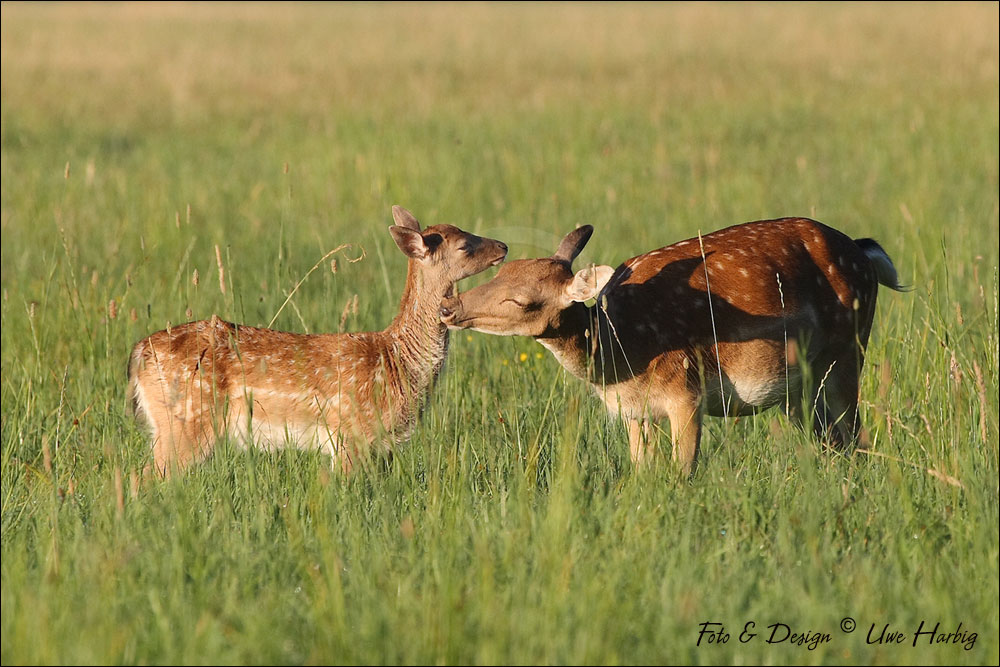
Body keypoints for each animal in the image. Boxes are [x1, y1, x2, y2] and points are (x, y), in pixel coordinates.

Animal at [128, 206, 508, 478]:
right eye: (464, 245)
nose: (503, 246)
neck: (399, 362)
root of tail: (138, 354)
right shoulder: (352, 434)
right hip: (185, 421)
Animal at [440, 219, 908, 474]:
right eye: (503, 272)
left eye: (521, 300)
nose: (448, 307)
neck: (620, 353)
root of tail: (864, 253)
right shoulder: (631, 411)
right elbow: (642, 471)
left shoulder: (686, 391)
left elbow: (683, 472)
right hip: (801, 386)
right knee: (831, 440)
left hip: (848, 351)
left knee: (856, 435)